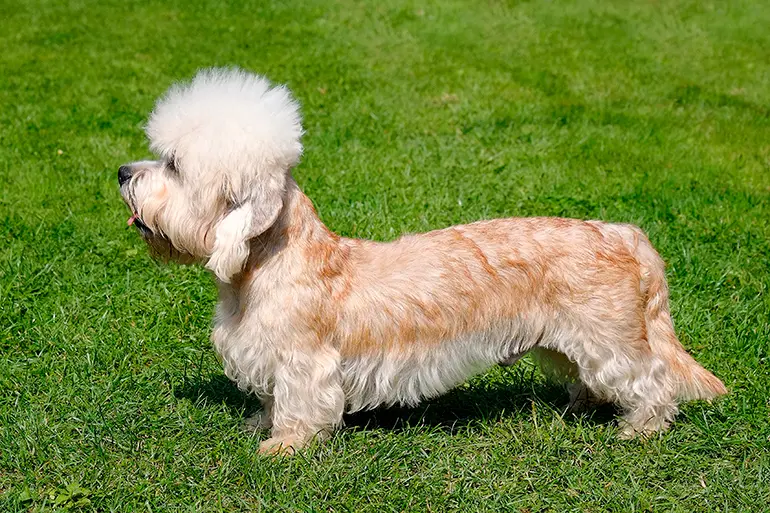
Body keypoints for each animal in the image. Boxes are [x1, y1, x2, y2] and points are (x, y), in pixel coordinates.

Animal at [118, 67, 726, 454]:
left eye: (173, 164)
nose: (123, 173)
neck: (269, 265)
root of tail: (625, 235)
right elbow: (270, 400)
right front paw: (258, 425)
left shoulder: (303, 362)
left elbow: (298, 405)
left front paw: (283, 446)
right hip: (568, 342)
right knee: (591, 380)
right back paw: (578, 409)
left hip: (612, 341)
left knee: (654, 381)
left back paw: (639, 430)